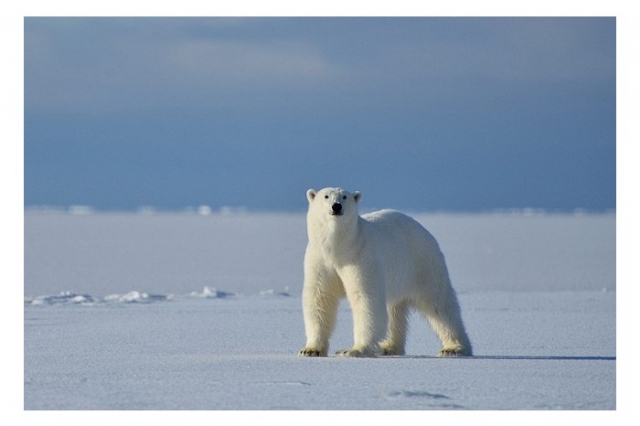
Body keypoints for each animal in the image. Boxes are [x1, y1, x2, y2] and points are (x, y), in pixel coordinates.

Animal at [298, 188, 472, 358]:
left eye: (345, 196)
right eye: (326, 196)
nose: (336, 206)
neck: (339, 250)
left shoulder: (361, 257)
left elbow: (365, 298)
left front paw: (354, 350)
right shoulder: (320, 260)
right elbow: (320, 298)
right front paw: (311, 350)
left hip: (423, 264)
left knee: (439, 304)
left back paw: (454, 348)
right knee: (394, 309)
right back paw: (389, 347)